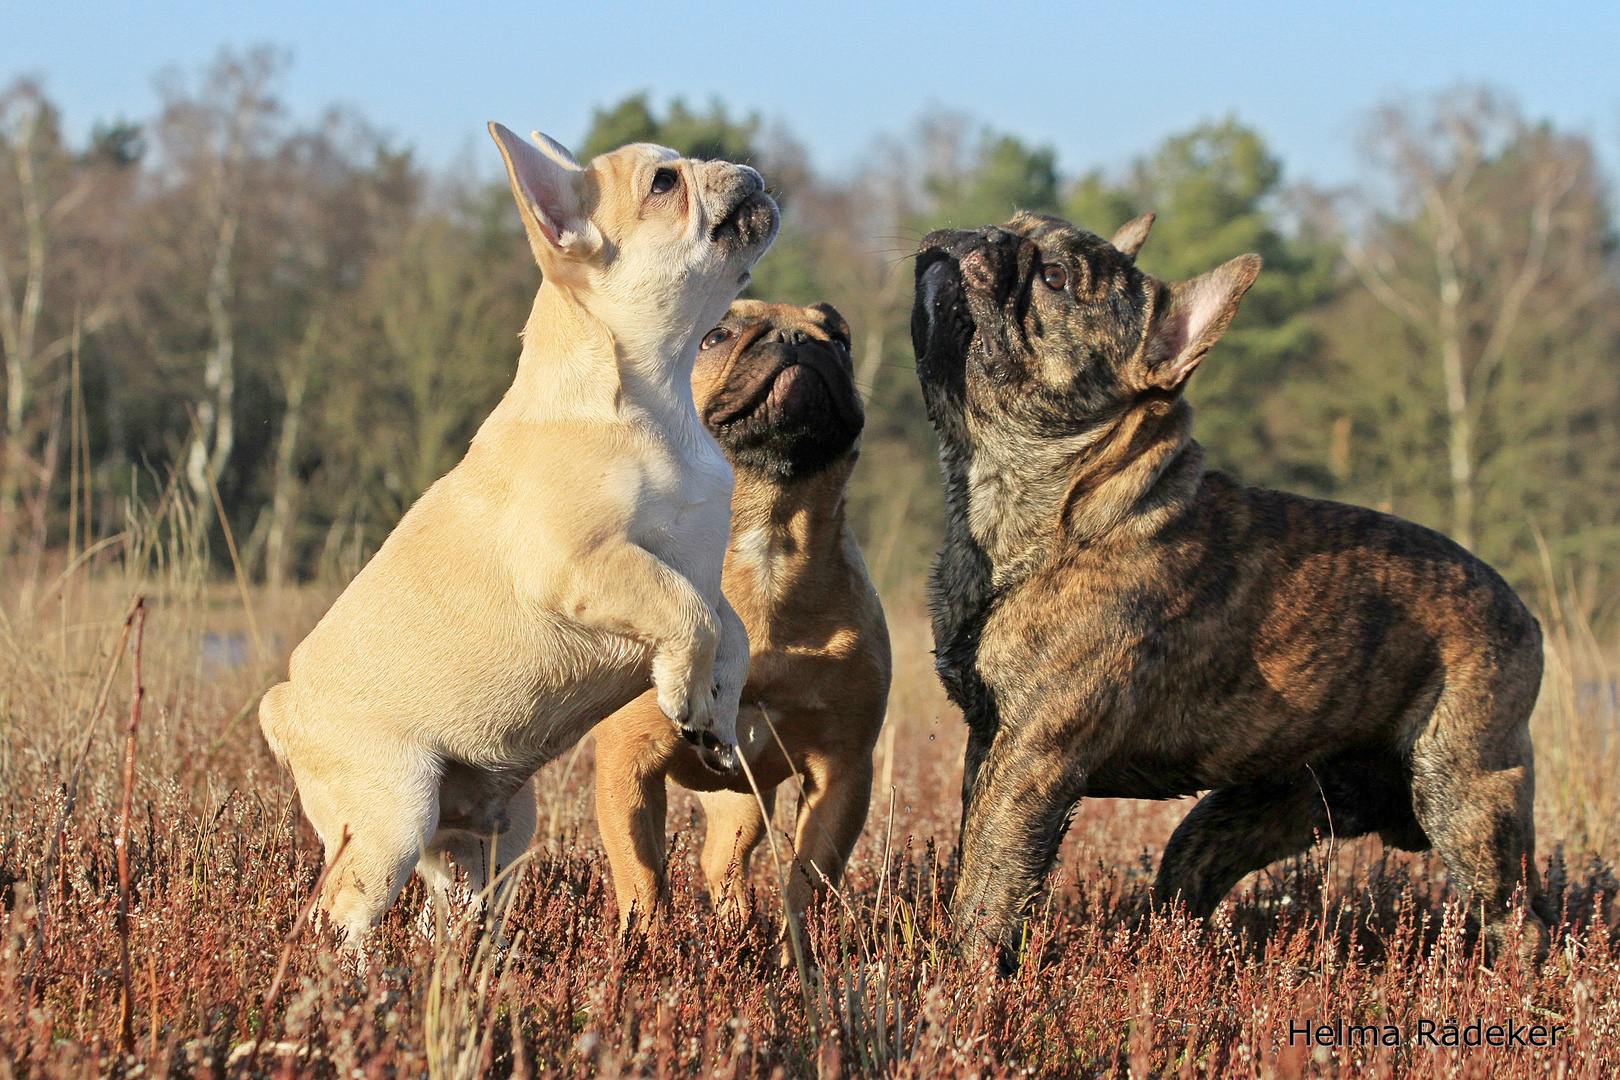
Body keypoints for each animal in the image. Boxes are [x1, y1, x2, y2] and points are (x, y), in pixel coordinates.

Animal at [259, 124, 777, 945]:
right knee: (340, 915)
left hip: (493, 837)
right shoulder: (586, 566)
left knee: (449, 910)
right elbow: (687, 613)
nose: (747, 170)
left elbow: (730, 632)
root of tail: (284, 709)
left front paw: (716, 719)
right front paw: (683, 693)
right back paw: (355, 978)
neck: (655, 393)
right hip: (392, 816)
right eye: (664, 183)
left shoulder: (697, 566)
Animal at [596, 299, 894, 932]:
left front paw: (794, 949)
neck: (766, 537)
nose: (798, 339)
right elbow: (642, 879)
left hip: (742, 801)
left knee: (725, 865)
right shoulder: (627, 763)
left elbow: (808, 884)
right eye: (716, 335)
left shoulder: (842, 770)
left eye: (841, 339)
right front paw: (648, 947)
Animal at [920, 213, 1548, 971]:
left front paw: (963, 978)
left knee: (1522, 922)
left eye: (1056, 278)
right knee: (1185, 889)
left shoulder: (1031, 760)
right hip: (1247, 813)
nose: (977, 234)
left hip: (1466, 796)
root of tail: (1524, 614)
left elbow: (990, 884)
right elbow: (973, 856)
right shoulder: (987, 749)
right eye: (1014, 225)